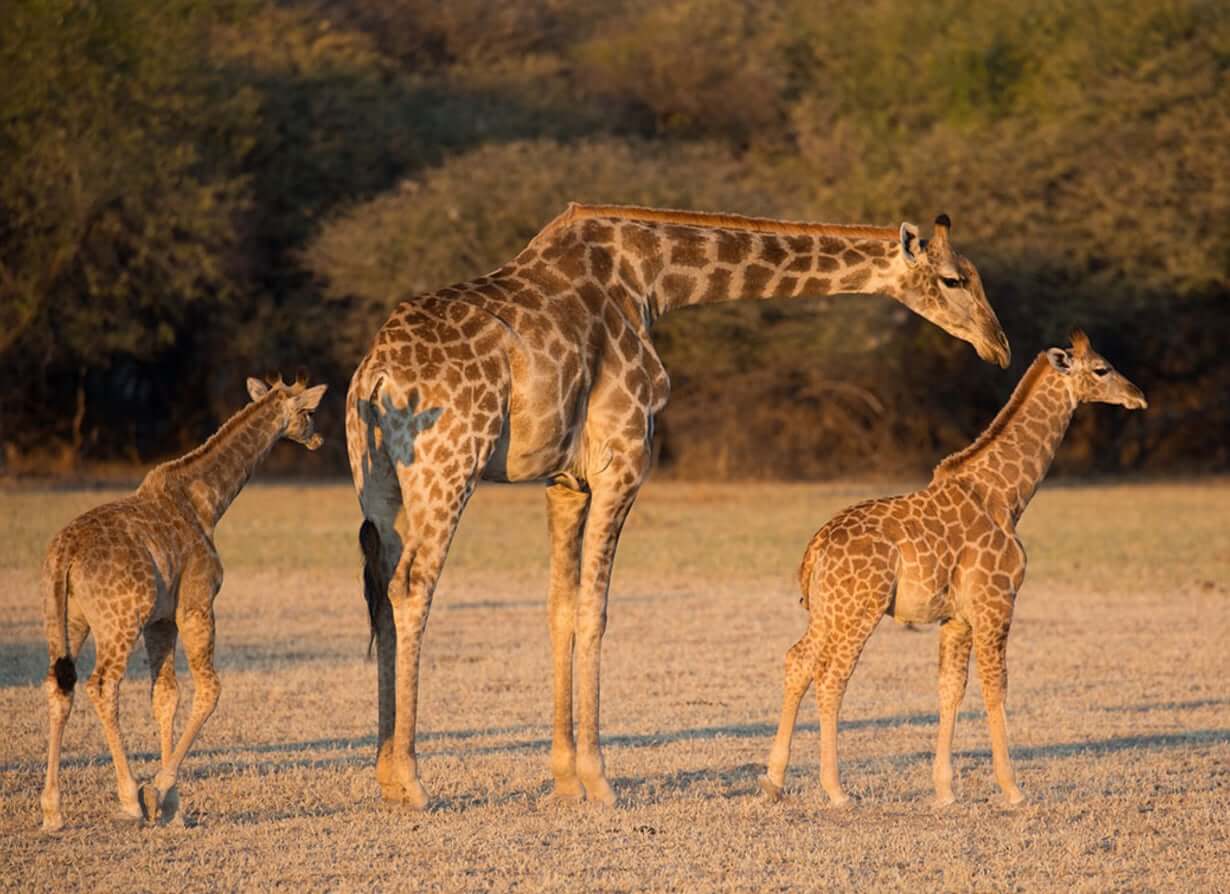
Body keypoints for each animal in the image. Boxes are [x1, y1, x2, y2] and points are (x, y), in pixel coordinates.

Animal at [39, 371, 327, 831]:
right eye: (309, 412)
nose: (317, 438)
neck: (207, 504)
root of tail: (64, 554)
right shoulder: (197, 603)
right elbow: (210, 689)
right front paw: (157, 791)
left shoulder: (162, 619)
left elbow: (165, 694)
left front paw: (170, 804)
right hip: (120, 620)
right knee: (101, 685)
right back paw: (128, 798)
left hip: (67, 619)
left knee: (58, 684)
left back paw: (52, 809)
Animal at [346, 202, 1008, 811]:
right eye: (955, 279)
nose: (998, 346)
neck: (653, 281)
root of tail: (377, 376)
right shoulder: (621, 462)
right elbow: (596, 612)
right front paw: (599, 780)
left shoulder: (564, 481)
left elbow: (560, 608)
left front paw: (565, 780)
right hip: (450, 465)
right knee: (413, 587)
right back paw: (411, 780)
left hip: (377, 484)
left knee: (381, 591)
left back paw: (385, 776)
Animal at [757, 334, 1141, 811]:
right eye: (1102, 369)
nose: (1137, 396)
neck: (1007, 496)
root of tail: (817, 545)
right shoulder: (996, 602)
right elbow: (995, 687)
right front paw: (1012, 788)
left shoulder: (956, 617)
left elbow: (951, 688)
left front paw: (944, 789)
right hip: (860, 609)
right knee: (832, 678)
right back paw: (836, 789)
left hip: (829, 609)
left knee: (798, 660)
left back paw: (773, 780)